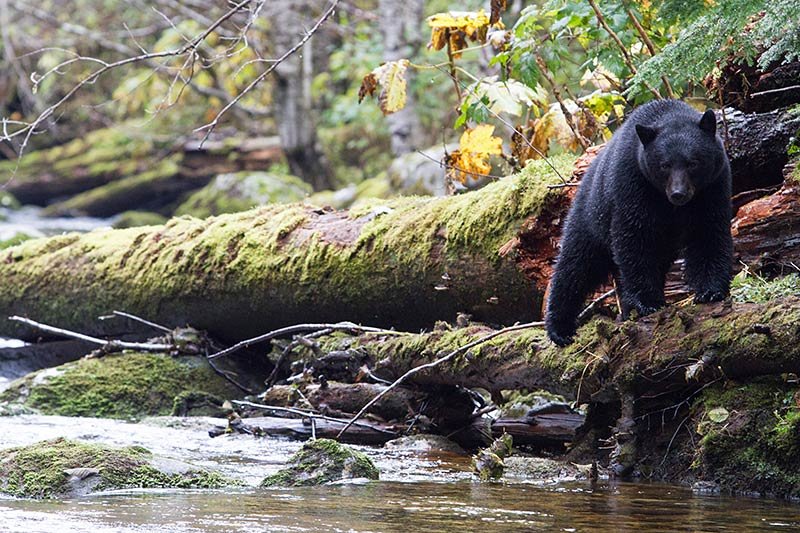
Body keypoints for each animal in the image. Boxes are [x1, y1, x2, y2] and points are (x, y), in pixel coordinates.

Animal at [548, 99, 736, 344]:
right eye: (665, 165)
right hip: (589, 218)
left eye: (693, 162)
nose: (678, 194)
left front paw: (710, 291)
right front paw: (647, 302)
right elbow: (635, 238)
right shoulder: (632, 183)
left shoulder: (714, 184)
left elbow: (709, 231)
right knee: (575, 265)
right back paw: (559, 328)